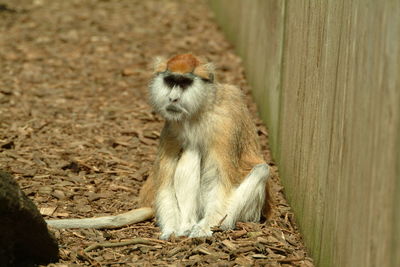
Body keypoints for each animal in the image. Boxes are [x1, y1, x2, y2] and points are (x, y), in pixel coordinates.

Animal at [138, 53, 272, 240]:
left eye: (184, 83)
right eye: (170, 81)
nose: (173, 98)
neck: (203, 109)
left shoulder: (225, 124)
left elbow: (220, 181)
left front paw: (203, 229)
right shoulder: (173, 127)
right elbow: (165, 185)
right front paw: (171, 230)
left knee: (261, 170)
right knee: (191, 150)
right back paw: (185, 225)